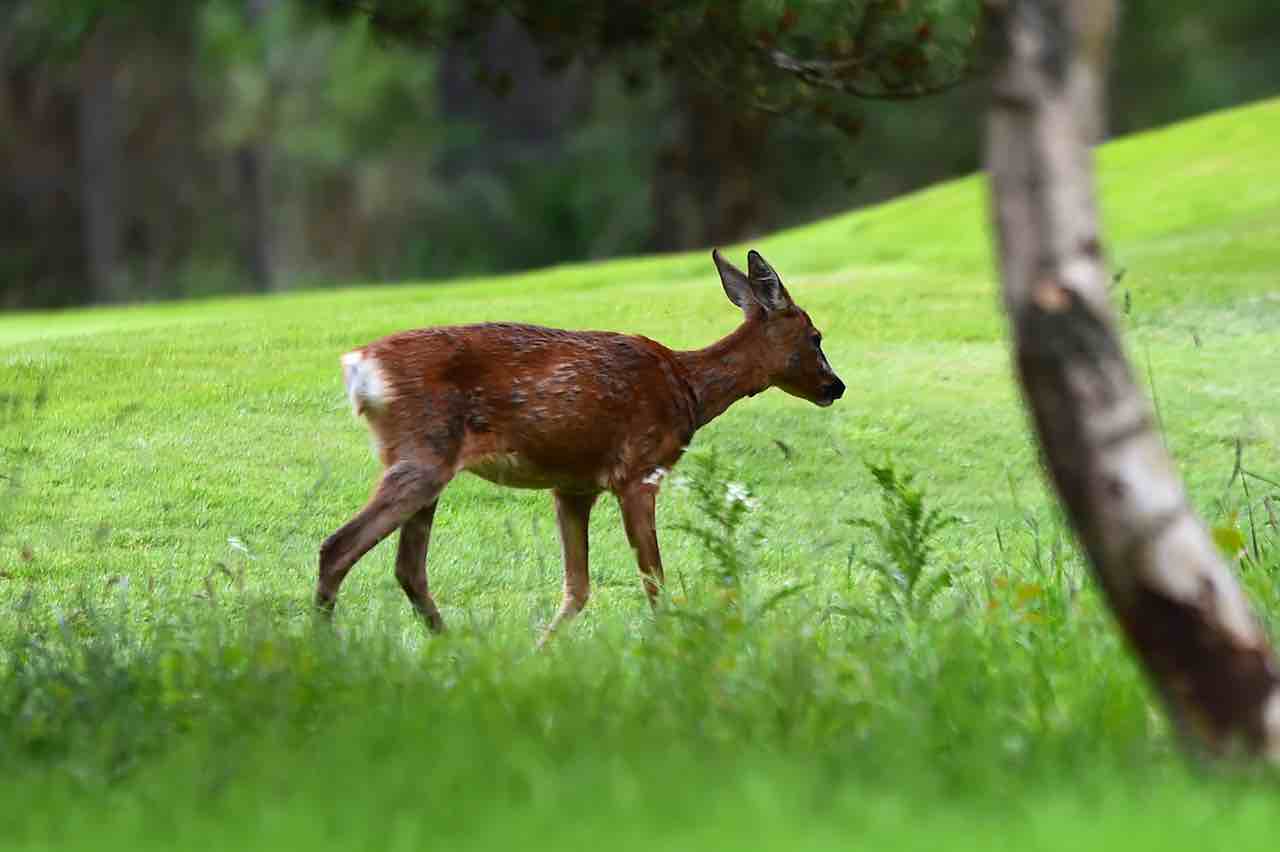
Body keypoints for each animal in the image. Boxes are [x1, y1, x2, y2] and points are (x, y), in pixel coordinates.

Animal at [316, 249, 844, 634]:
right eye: (816, 337)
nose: (835, 386)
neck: (687, 389)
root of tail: (360, 366)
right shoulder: (638, 471)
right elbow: (652, 579)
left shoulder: (573, 486)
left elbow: (577, 589)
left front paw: (540, 652)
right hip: (422, 453)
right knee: (338, 546)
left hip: (427, 461)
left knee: (408, 568)